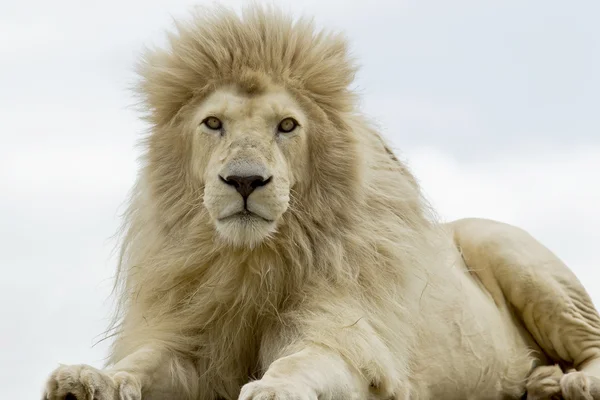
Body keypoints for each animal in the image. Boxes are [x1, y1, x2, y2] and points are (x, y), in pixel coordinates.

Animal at [44, 5, 600, 400]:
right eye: (213, 123)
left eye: (287, 125)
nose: (244, 180)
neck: (253, 260)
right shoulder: (193, 343)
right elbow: (140, 362)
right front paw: (86, 378)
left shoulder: (350, 334)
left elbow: (304, 359)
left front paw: (273, 387)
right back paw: (544, 382)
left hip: (510, 249)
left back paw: (568, 383)